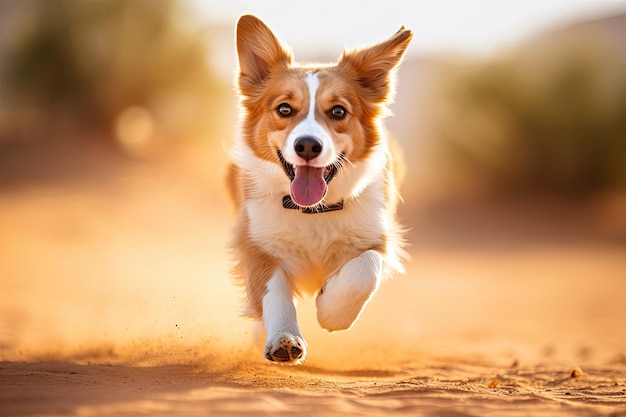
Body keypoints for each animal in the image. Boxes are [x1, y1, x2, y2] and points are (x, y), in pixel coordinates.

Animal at [227, 14, 412, 362]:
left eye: (338, 111)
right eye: (284, 109)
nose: (308, 146)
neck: (313, 212)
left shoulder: (378, 238)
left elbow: (365, 269)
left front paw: (330, 310)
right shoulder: (256, 242)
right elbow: (274, 293)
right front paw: (283, 338)